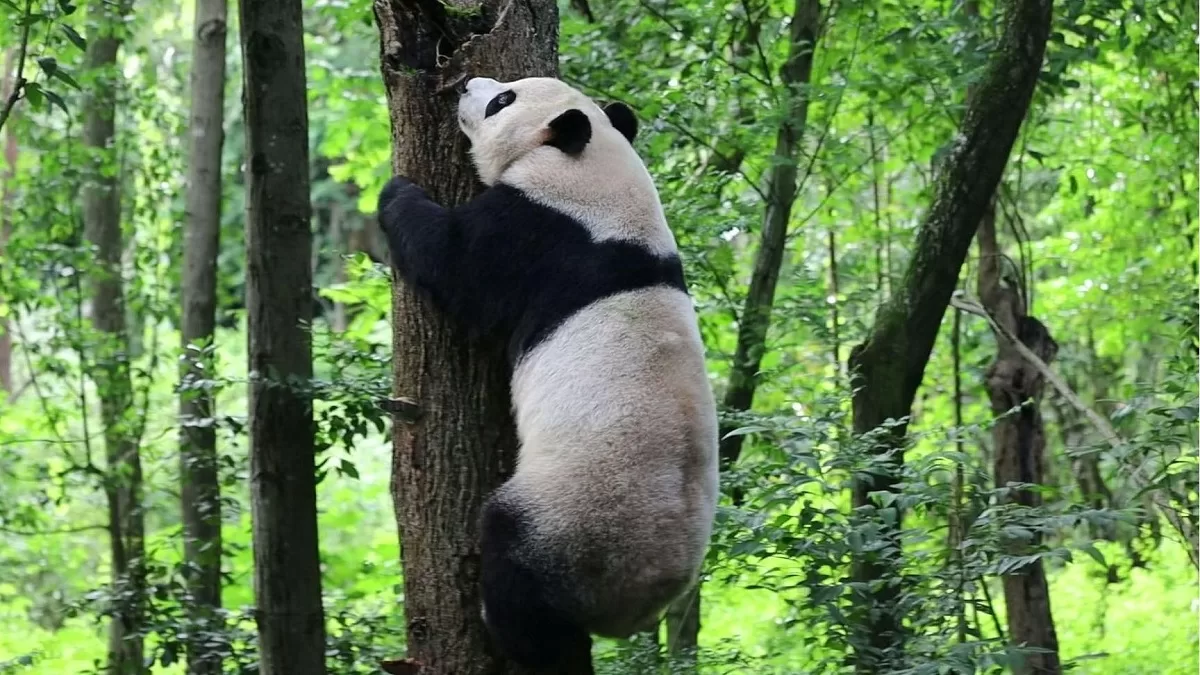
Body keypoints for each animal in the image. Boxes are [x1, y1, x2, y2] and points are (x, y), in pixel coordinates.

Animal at [377, 76, 719, 672]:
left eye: (503, 100)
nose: (467, 85)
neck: (595, 160)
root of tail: (635, 603)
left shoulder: (539, 227)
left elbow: (457, 267)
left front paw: (396, 191)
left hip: (572, 521)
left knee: (519, 572)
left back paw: (513, 632)